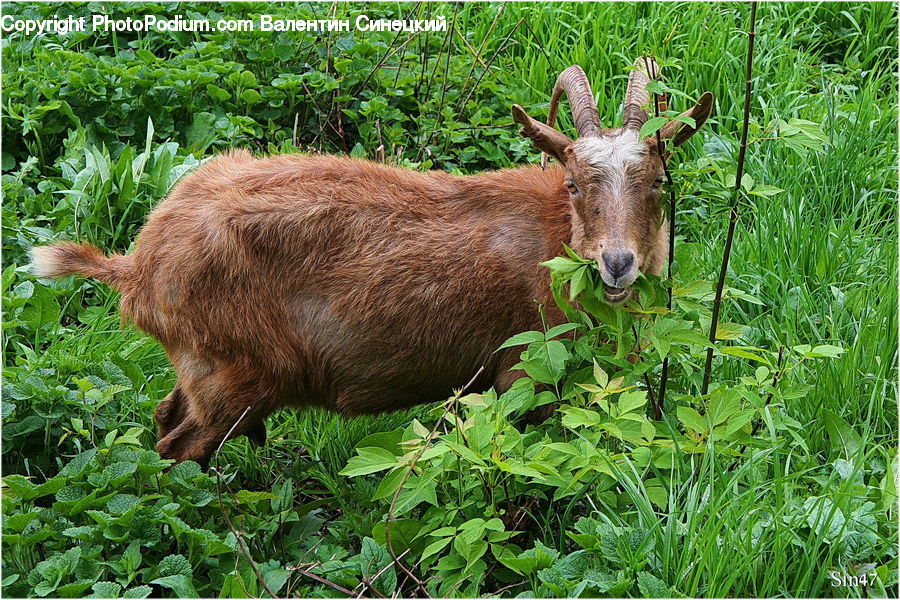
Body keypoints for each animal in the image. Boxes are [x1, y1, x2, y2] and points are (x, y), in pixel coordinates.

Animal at [31, 59, 713, 466]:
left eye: (658, 181)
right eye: (573, 182)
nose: (618, 264)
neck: (552, 237)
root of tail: (140, 265)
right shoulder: (524, 368)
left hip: (201, 369)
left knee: (163, 419)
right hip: (233, 377)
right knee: (180, 448)